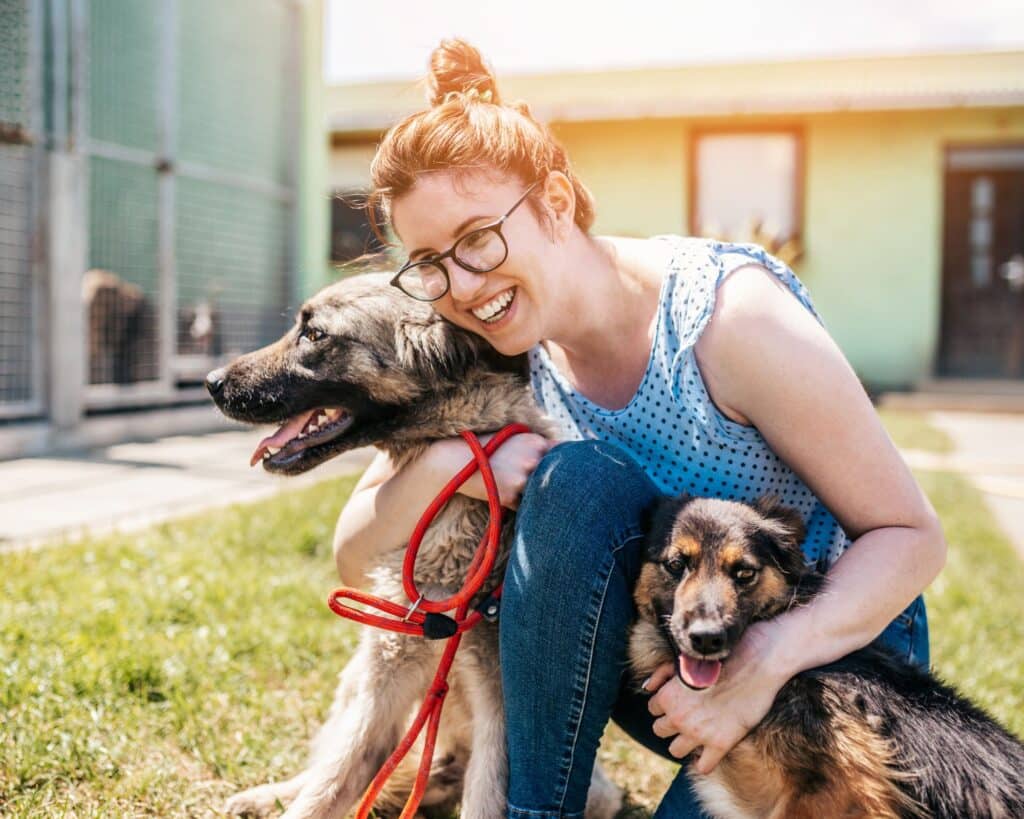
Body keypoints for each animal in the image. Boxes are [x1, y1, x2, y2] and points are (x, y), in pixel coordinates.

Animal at [205, 274, 622, 818]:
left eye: (315, 334)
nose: (211, 381)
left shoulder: (499, 715)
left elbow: (480, 800)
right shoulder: (386, 677)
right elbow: (329, 785)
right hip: (357, 677)